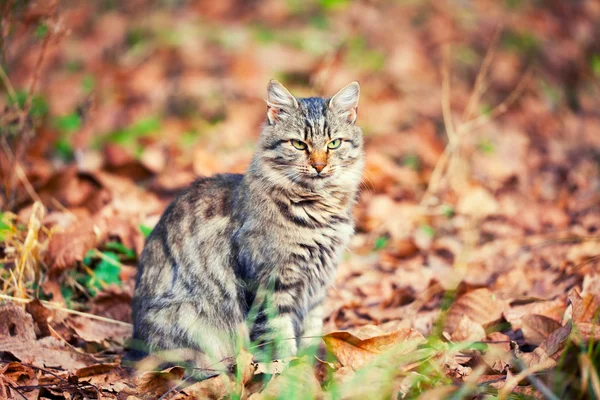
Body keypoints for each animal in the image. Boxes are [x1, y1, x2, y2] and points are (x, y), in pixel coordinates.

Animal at [131, 79, 364, 372]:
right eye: (299, 144)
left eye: (333, 143)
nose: (319, 166)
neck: (318, 212)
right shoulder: (270, 283)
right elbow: (280, 338)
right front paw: (289, 374)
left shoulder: (317, 286)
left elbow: (310, 332)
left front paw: (310, 365)